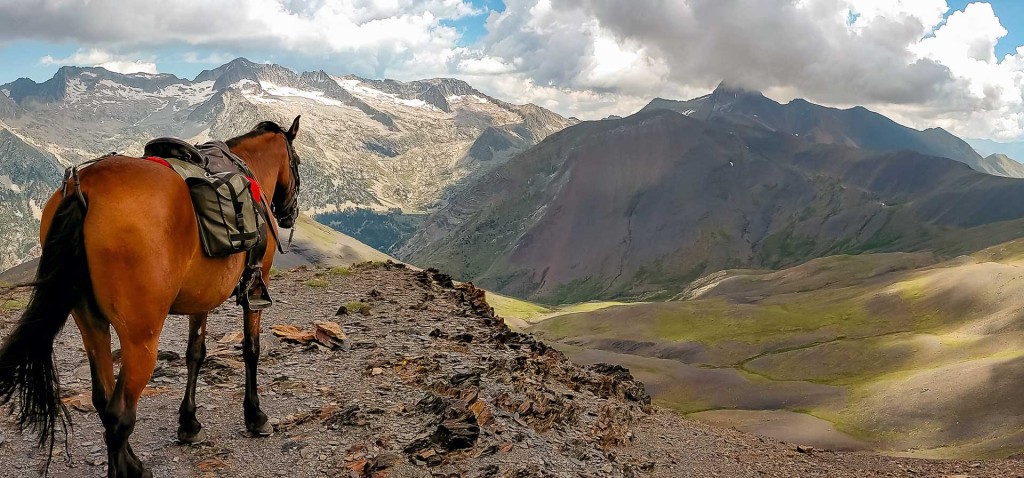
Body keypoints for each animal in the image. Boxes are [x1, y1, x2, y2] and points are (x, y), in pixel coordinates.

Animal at [0, 117, 302, 477]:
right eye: (298, 163)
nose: (288, 213)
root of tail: (84, 186)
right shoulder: (257, 284)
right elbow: (251, 349)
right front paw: (255, 417)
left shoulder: (200, 297)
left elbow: (195, 353)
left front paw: (189, 424)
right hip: (140, 338)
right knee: (120, 413)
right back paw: (128, 469)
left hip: (91, 325)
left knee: (104, 401)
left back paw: (133, 462)